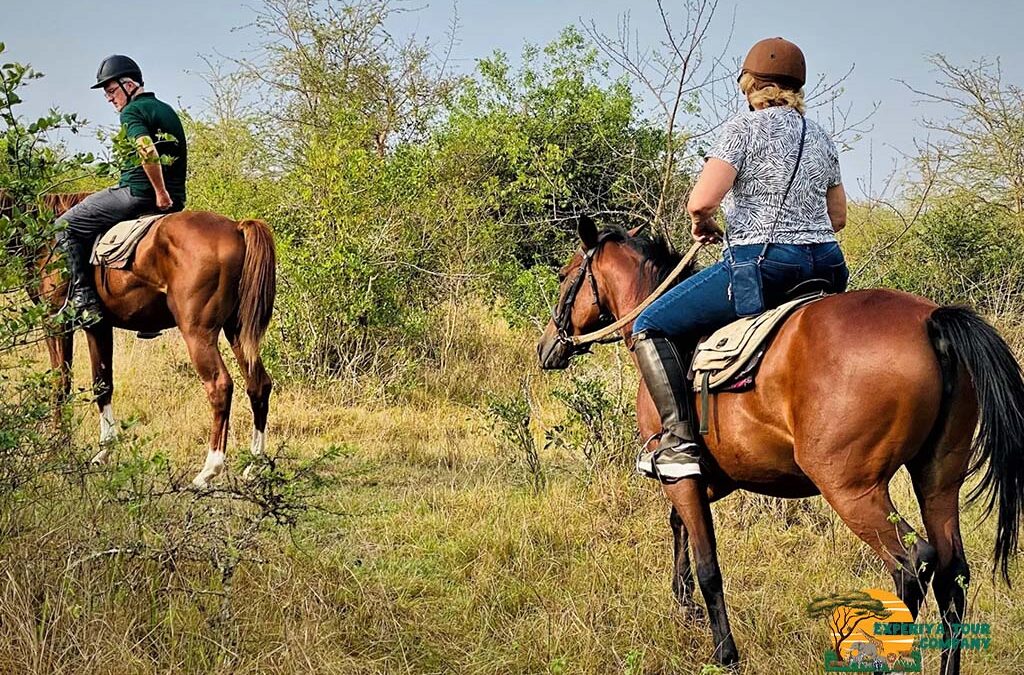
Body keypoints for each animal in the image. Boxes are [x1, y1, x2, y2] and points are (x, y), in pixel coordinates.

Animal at [23, 192, 276, 488]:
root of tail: (236, 227)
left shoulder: (56, 323)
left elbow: (61, 385)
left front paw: (57, 448)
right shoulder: (98, 327)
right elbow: (102, 384)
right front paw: (103, 452)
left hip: (198, 332)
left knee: (220, 387)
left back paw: (208, 471)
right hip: (236, 331)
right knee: (259, 385)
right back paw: (254, 465)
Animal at [536, 216, 1024, 675]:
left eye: (563, 275)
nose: (546, 347)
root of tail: (929, 320)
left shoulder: (681, 473)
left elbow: (708, 562)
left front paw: (724, 651)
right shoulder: (712, 476)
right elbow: (680, 526)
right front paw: (684, 602)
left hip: (851, 488)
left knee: (911, 563)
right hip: (937, 478)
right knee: (952, 574)